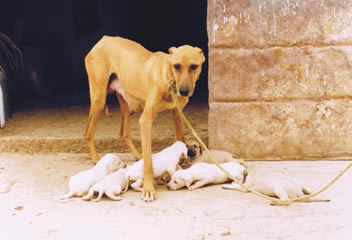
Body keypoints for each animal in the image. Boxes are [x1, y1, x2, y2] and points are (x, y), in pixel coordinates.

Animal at [84, 36, 205, 201]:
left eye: (194, 66)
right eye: (177, 66)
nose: (184, 91)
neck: (167, 76)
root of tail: (103, 39)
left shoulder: (177, 113)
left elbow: (180, 139)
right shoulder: (146, 120)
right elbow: (148, 163)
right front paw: (148, 188)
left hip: (125, 104)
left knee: (124, 133)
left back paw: (137, 155)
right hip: (99, 99)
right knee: (88, 133)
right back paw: (96, 159)